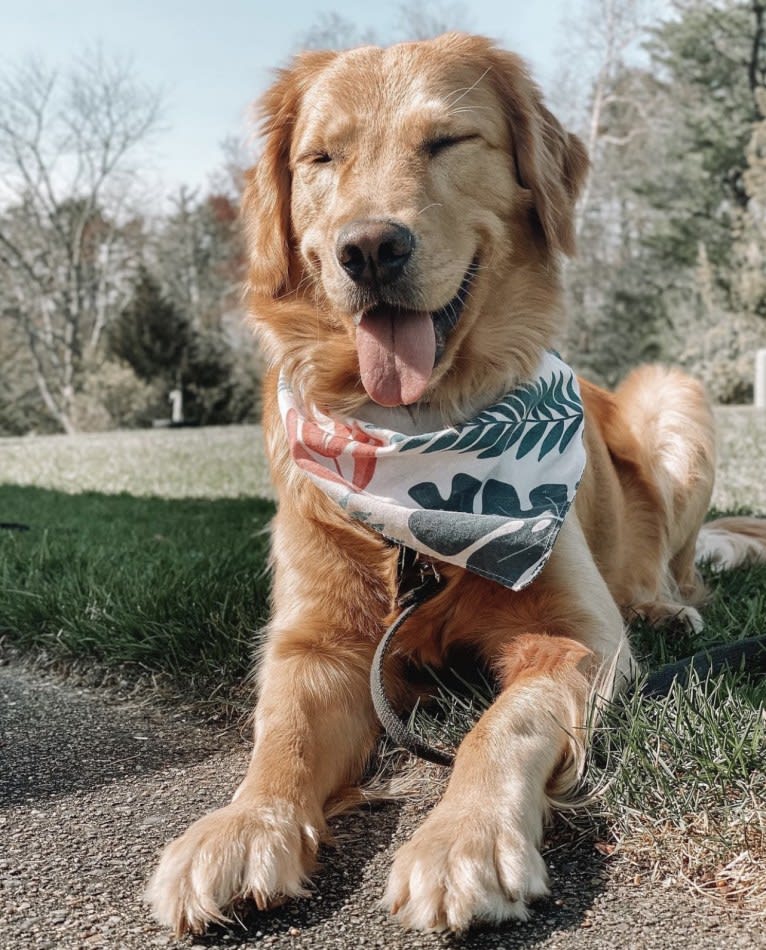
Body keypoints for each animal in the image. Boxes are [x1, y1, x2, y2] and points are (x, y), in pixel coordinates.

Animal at [146, 31, 766, 936]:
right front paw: (241, 826)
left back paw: (665, 607)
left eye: (446, 142)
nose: (370, 248)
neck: (416, 450)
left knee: (671, 567)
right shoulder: (315, 642)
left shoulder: (579, 636)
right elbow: (282, 733)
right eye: (322, 157)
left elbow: (503, 724)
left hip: (673, 394)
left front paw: (463, 840)